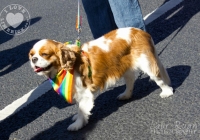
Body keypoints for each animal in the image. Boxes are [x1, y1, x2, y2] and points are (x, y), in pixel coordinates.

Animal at [28, 27, 173, 131]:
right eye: (31, 55)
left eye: (44, 54)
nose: (33, 59)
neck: (67, 67)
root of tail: (140, 31)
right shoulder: (76, 91)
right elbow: (79, 107)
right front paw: (77, 118)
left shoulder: (84, 93)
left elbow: (82, 109)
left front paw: (78, 124)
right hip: (124, 66)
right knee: (130, 80)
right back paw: (126, 95)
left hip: (146, 63)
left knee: (158, 79)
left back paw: (167, 92)